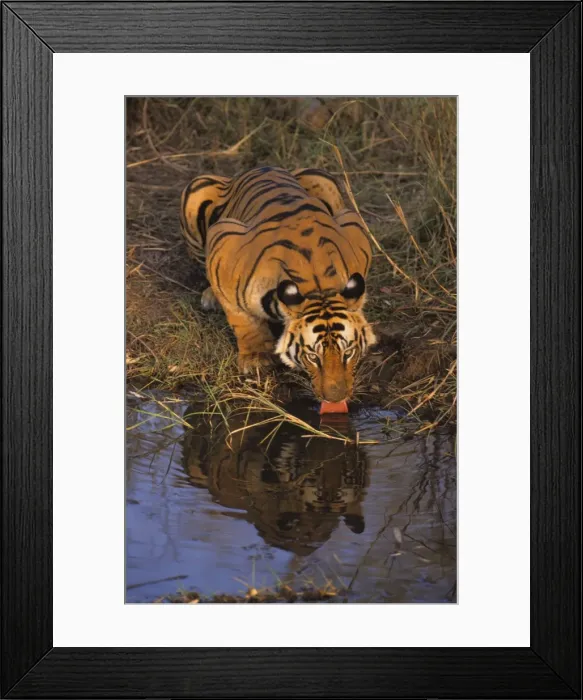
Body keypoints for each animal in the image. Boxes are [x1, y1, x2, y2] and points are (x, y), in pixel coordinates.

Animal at [180, 165, 376, 403]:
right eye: (313, 356)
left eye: (348, 353)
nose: (336, 398)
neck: (318, 284)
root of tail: (261, 167)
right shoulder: (222, 242)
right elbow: (242, 319)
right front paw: (256, 358)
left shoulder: (354, 225)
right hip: (196, 189)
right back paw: (210, 297)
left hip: (323, 180)